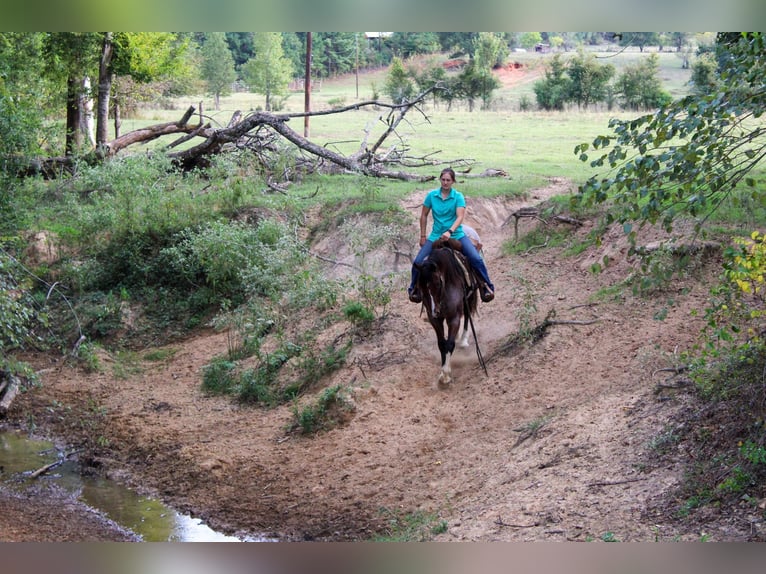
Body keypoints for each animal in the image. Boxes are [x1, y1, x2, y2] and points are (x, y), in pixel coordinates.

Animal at [414, 241, 480, 384]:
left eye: (438, 283)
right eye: (420, 287)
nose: (435, 311)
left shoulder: (453, 317)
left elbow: (449, 344)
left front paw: (446, 374)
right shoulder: (435, 320)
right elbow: (442, 344)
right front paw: (443, 372)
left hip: (468, 299)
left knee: (467, 316)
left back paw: (463, 340)